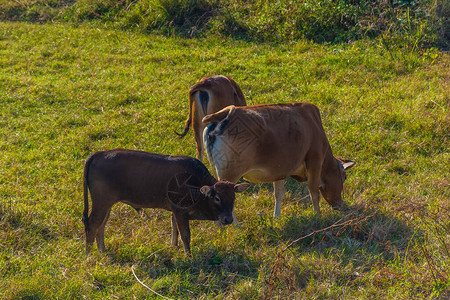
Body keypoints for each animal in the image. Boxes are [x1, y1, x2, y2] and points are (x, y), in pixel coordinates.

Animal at [81, 149, 250, 254]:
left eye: (233, 198)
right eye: (217, 198)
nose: (228, 219)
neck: (194, 184)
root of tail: (99, 154)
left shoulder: (175, 212)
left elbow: (174, 228)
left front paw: (173, 246)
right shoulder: (180, 211)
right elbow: (185, 234)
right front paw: (188, 255)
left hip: (107, 205)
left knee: (101, 226)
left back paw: (102, 251)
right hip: (101, 203)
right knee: (92, 225)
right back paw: (90, 255)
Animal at [201, 103, 356, 218]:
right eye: (345, 177)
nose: (340, 204)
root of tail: (227, 114)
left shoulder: (280, 170)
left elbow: (279, 194)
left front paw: (277, 217)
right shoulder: (315, 160)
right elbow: (314, 192)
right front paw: (317, 216)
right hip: (230, 174)